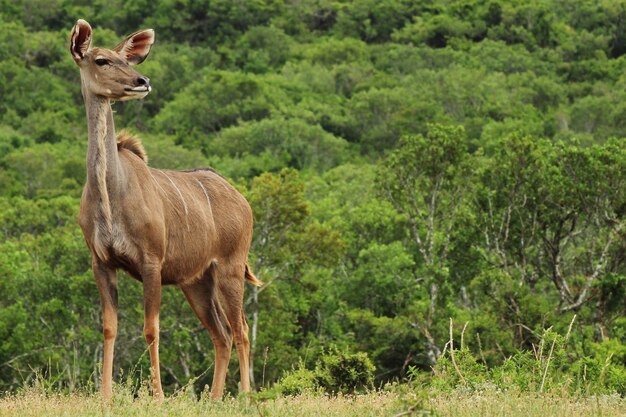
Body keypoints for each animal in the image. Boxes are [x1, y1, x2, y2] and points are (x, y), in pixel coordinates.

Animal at [69, 18, 260, 400]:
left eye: (126, 59)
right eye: (102, 60)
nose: (141, 82)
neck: (111, 194)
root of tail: (242, 201)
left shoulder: (151, 262)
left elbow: (151, 328)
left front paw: (156, 396)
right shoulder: (101, 262)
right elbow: (109, 327)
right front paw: (105, 396)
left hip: (230, 269)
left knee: (242, 329)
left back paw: (246, 397)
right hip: (197, 281)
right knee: (222, 334)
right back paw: (214, 400)